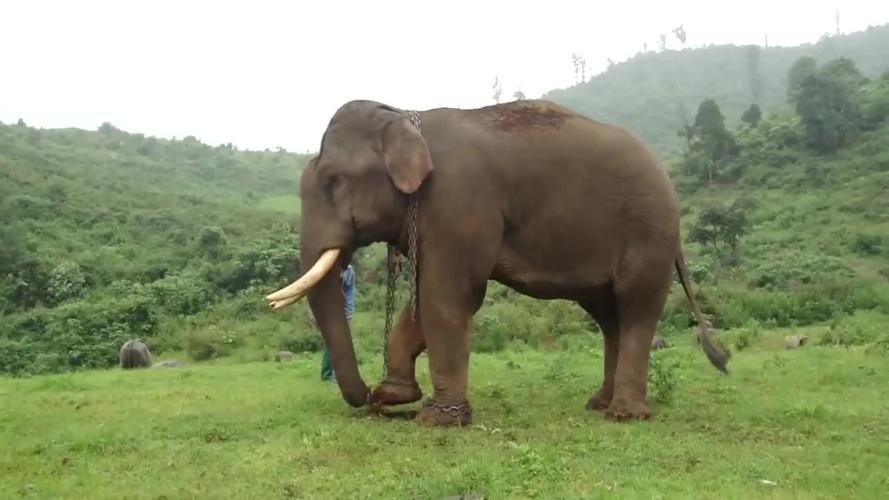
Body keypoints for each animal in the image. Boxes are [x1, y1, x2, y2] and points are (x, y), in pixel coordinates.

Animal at [266, 97, 728, 426]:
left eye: (333, 181)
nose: (367, 399)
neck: (406, 115)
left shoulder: (459, 200)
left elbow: (450, 295)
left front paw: (437, 419)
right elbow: (425, 297)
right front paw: (397, 396)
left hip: (648, 233)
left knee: (635, 307)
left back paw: (624, 415)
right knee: (607, 315)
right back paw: (598, 404)